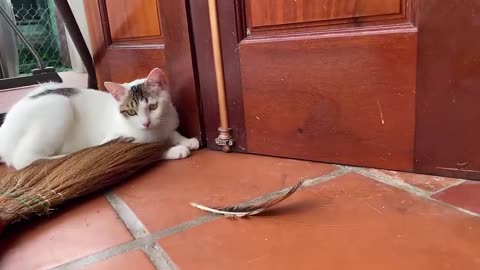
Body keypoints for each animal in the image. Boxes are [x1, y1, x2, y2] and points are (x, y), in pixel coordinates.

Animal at [0, 67, 199, 170]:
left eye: (153, 106)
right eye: (131, 112)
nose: (146, 123)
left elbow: (172, 132)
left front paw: (186, 140)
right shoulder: (116, 139)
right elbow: (146, 149)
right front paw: (175, 149)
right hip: (58, 105)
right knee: (24, 160)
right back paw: (69, 156)